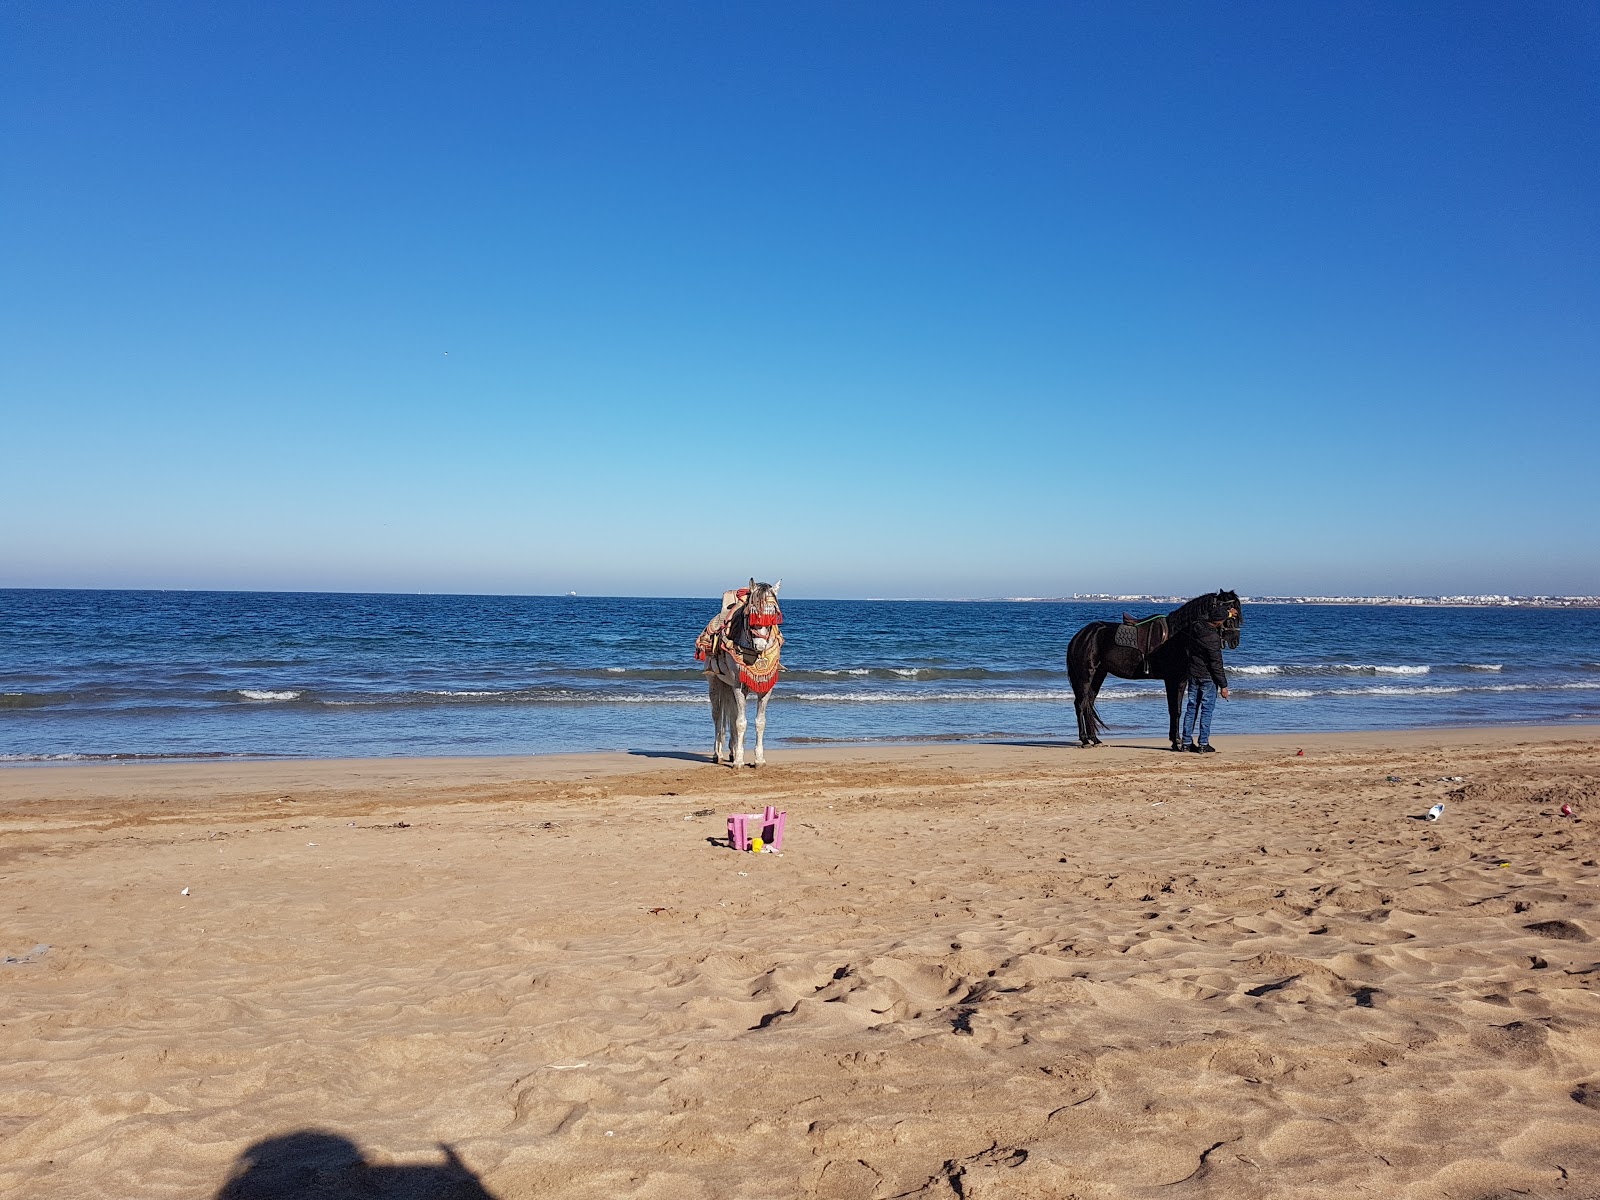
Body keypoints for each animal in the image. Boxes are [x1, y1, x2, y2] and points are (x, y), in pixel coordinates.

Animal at [694, 582, 780, 771]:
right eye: (750, 613)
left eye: (773, 614)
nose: (760, 645)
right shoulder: (738, 686)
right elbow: (741, 722)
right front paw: (739, 762)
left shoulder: (765, 688)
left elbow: (759, 721)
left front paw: (759, 759)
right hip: (715, 683)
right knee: (717, 715)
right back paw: (718, 754)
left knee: (731, 715)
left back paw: (732, 751)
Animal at [1068, 592, 1241, 752]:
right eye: (1230, 611)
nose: (1235, 641)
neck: (1177, 636)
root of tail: (1081, 635)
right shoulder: (1172, 679)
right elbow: (1174, 710)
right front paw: (1176, 742)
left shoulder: (1182, 680)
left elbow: (1178, 710)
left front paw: (1178, 741)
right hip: (1086, 675)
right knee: (1081, 704)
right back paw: (1085, 739)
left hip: (1099, 674)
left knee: (1088, 703)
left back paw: (1094, 739)